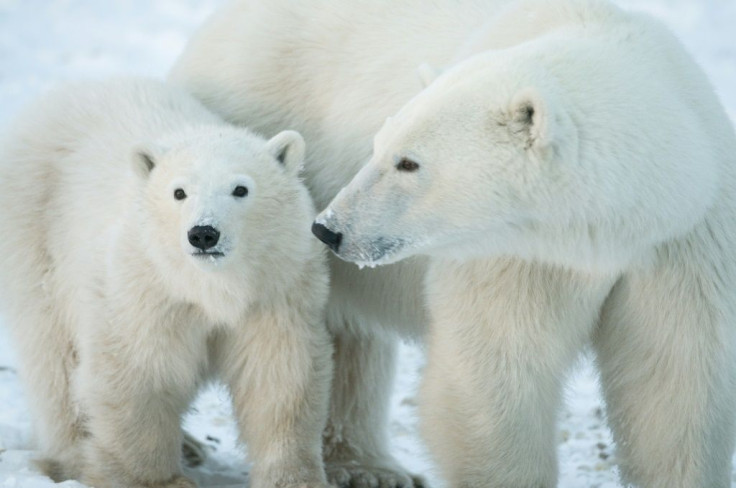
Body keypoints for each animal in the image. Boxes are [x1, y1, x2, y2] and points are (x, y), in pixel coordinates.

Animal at [172, 0, 736, 486]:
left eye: (408, 161)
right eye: (378, 145)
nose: (329, 228)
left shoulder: (682, 245)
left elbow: (673, 388)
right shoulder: (514, 254)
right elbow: (498, 374)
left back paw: (369, 466)